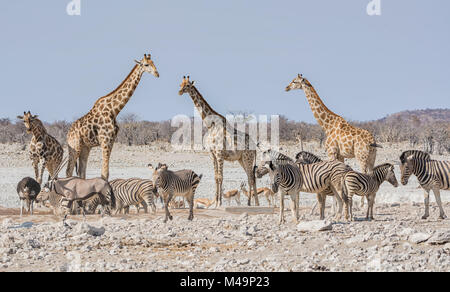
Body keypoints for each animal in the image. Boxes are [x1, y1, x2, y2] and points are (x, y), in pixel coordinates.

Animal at [178, 76, 258, 208]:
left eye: (188, 85)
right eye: (180, 84)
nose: (179, 91)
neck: (211, 126)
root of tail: (255, 147)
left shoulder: (220, 154)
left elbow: (220, 177)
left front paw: (219, 203)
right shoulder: (212, 155)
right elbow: (216, 177)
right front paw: (215, 202)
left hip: (248, 158)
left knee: (251, 177)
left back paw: (250, 203)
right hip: (241, 159)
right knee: (250, 177)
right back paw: (255, 203)